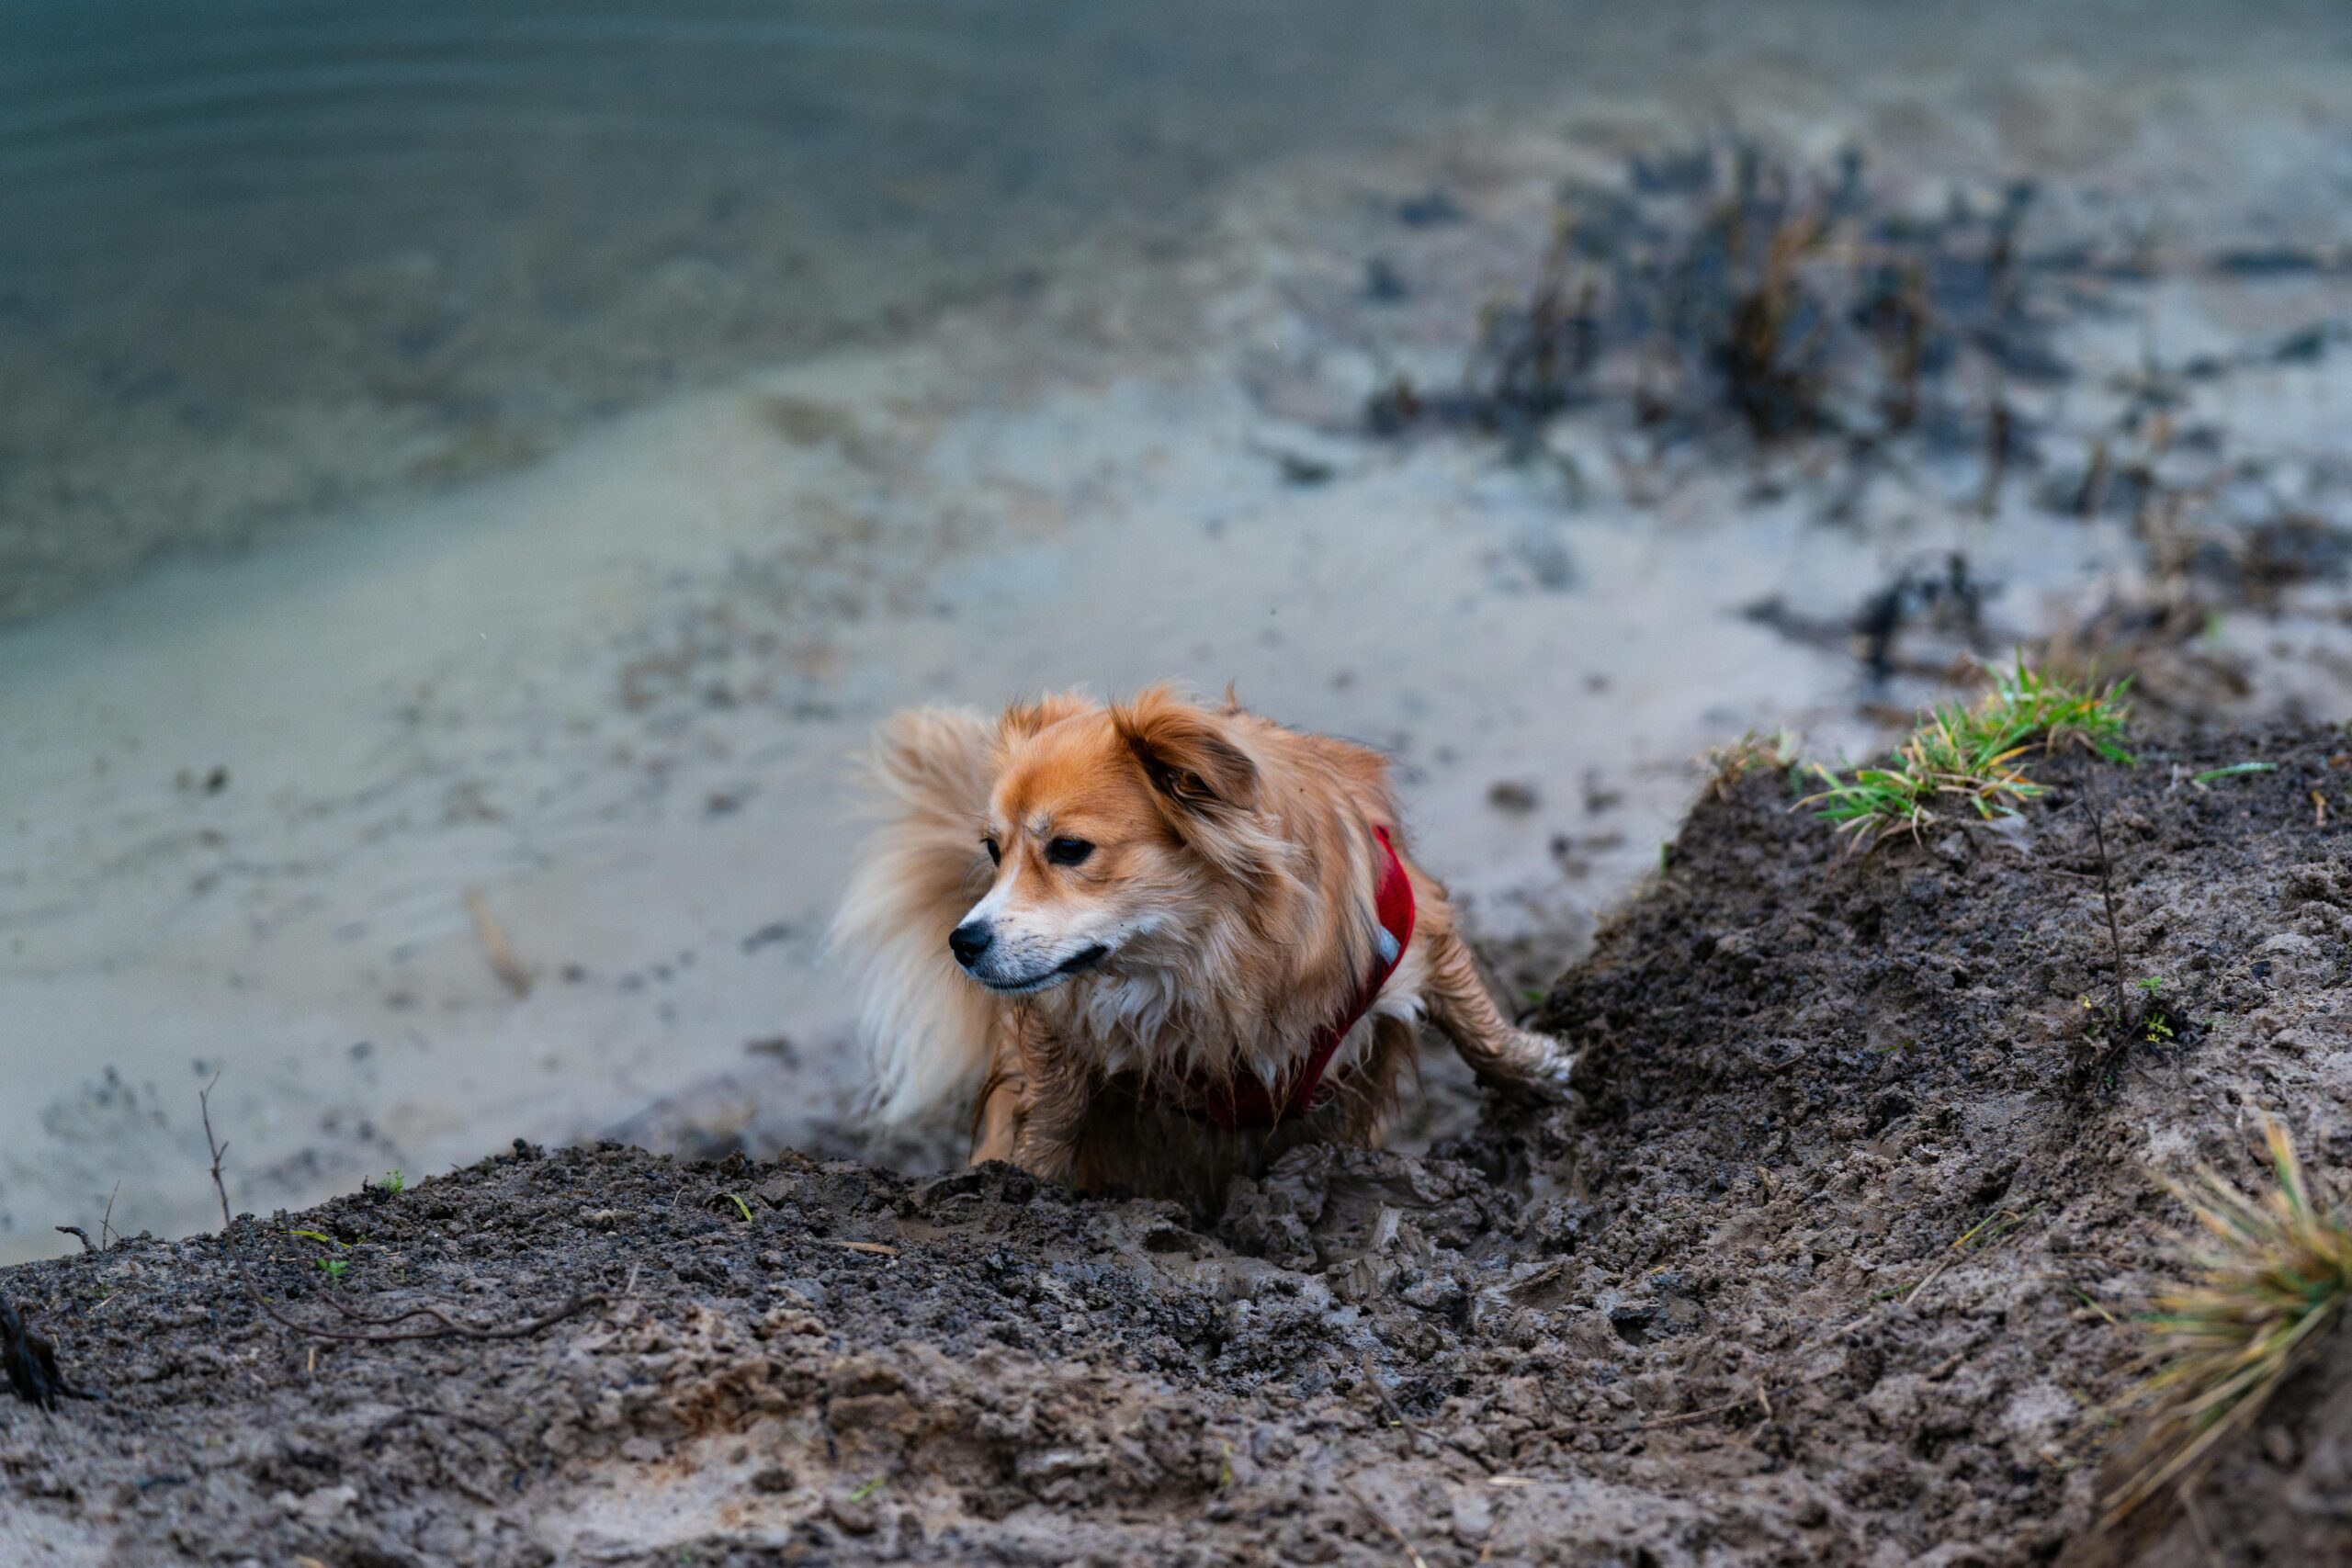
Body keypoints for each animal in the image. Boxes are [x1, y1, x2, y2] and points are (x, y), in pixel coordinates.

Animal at [837, 686, 1571, 1203]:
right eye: (993, 851)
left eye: (1069, 849)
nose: (962, 941)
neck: (1205, 954)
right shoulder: (1060, 1027)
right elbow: (1051, 1115)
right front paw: (1025, 1181)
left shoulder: (1415, 929)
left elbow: (1473, 1021)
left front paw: (1538, 1070)